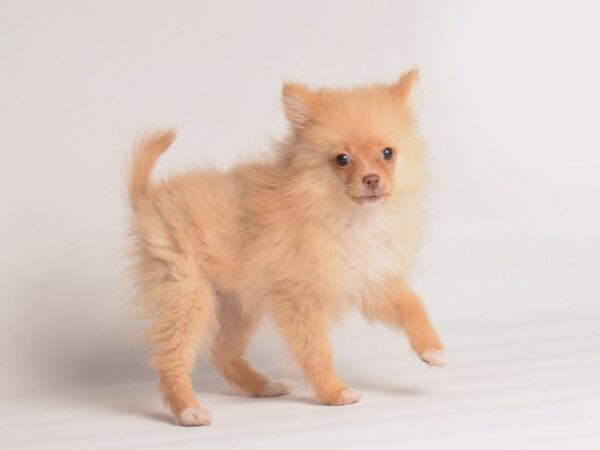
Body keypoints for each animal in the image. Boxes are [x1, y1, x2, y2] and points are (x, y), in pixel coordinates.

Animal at [126, 69, 446, 426]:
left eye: (388, 153)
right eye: (342, 159)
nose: (372, 179)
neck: (350, 217)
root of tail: (148, 198)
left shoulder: (372, 279)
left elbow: (413, 306)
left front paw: (432, 349)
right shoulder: (299, 298)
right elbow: (317, 350)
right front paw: (334, 393)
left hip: (234, 303)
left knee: (223, 352)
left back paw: (263, 386)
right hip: (186, 295)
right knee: (172, 358)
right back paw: (188, 409)